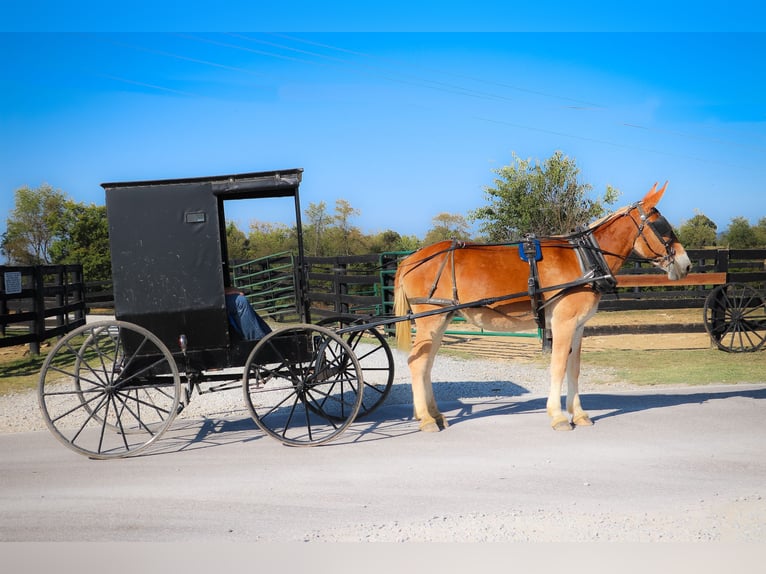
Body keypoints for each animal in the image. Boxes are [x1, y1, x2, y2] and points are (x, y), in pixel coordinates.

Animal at [393, 182, 692, 431]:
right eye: (662, 227)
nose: (686, 264)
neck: (584, 258)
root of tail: (410, 259)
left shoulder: (578, 327)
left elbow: (574, 368)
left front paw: (578, 414)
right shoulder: (563, 323)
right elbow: (558, 366)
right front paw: (558, 416)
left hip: (441, 319)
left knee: (427, 363)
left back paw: (435, 414)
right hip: (430, 319)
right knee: (417, 363)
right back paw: (426, 419)